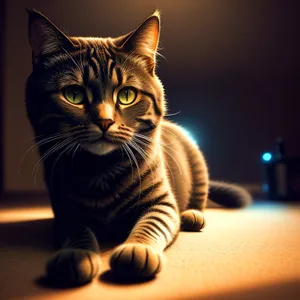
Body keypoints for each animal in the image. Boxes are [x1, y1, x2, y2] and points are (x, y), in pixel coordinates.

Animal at [25, 8, 252, 286]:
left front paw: (137, 250)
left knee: (198, 199)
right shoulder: (65, 213)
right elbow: (77, 232)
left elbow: (149, 226)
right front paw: (75, 255)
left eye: (127, 95)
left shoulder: (161, 203)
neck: (101, 170)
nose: (104, 121)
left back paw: (192, 215)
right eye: (74, 95)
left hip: (198, 166)